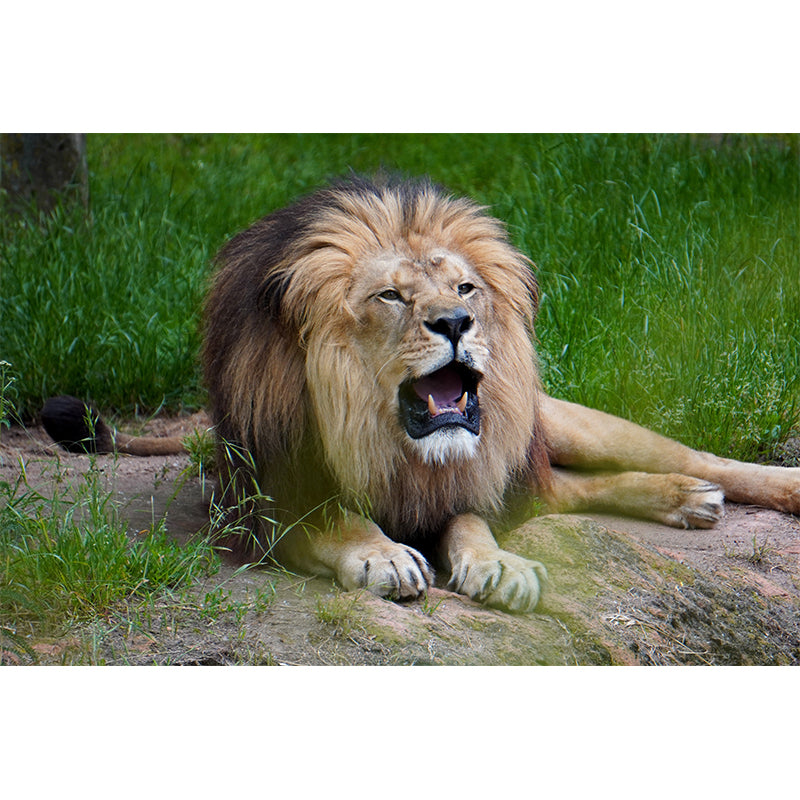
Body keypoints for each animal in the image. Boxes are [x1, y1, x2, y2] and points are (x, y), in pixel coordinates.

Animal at [42, 175, 800, 613]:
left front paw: (498, 566)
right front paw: (382, 553)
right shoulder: (262, 505)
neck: (387, 438)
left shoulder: (470, 480)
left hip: (554, 428)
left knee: (688, 459)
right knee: (571, 492)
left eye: (465, 287)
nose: (456, 322)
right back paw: (684, 501)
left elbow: (469, 521)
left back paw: (723, 489)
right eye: (392, 296)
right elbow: (335, 521)